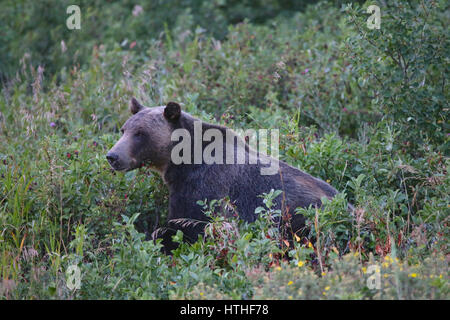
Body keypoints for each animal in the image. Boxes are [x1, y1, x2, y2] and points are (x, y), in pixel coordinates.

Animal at [107, 97, 342, 252]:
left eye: (140, 133)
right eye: (124, 129)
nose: (112, 156)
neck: (181, 162)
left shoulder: (201, 188)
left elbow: (184, 227)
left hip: (298, 217)